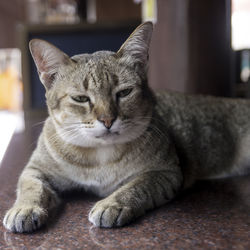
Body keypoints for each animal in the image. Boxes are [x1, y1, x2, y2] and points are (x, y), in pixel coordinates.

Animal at [2, 21, 250, 232]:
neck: (99, 155)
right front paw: (24, 208)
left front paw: (112, 204)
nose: (108, 120)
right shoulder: (35, 169)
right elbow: (31, 188)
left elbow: (135, 186)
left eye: (124, 93)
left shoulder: (165, 172)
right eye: (81, 99)